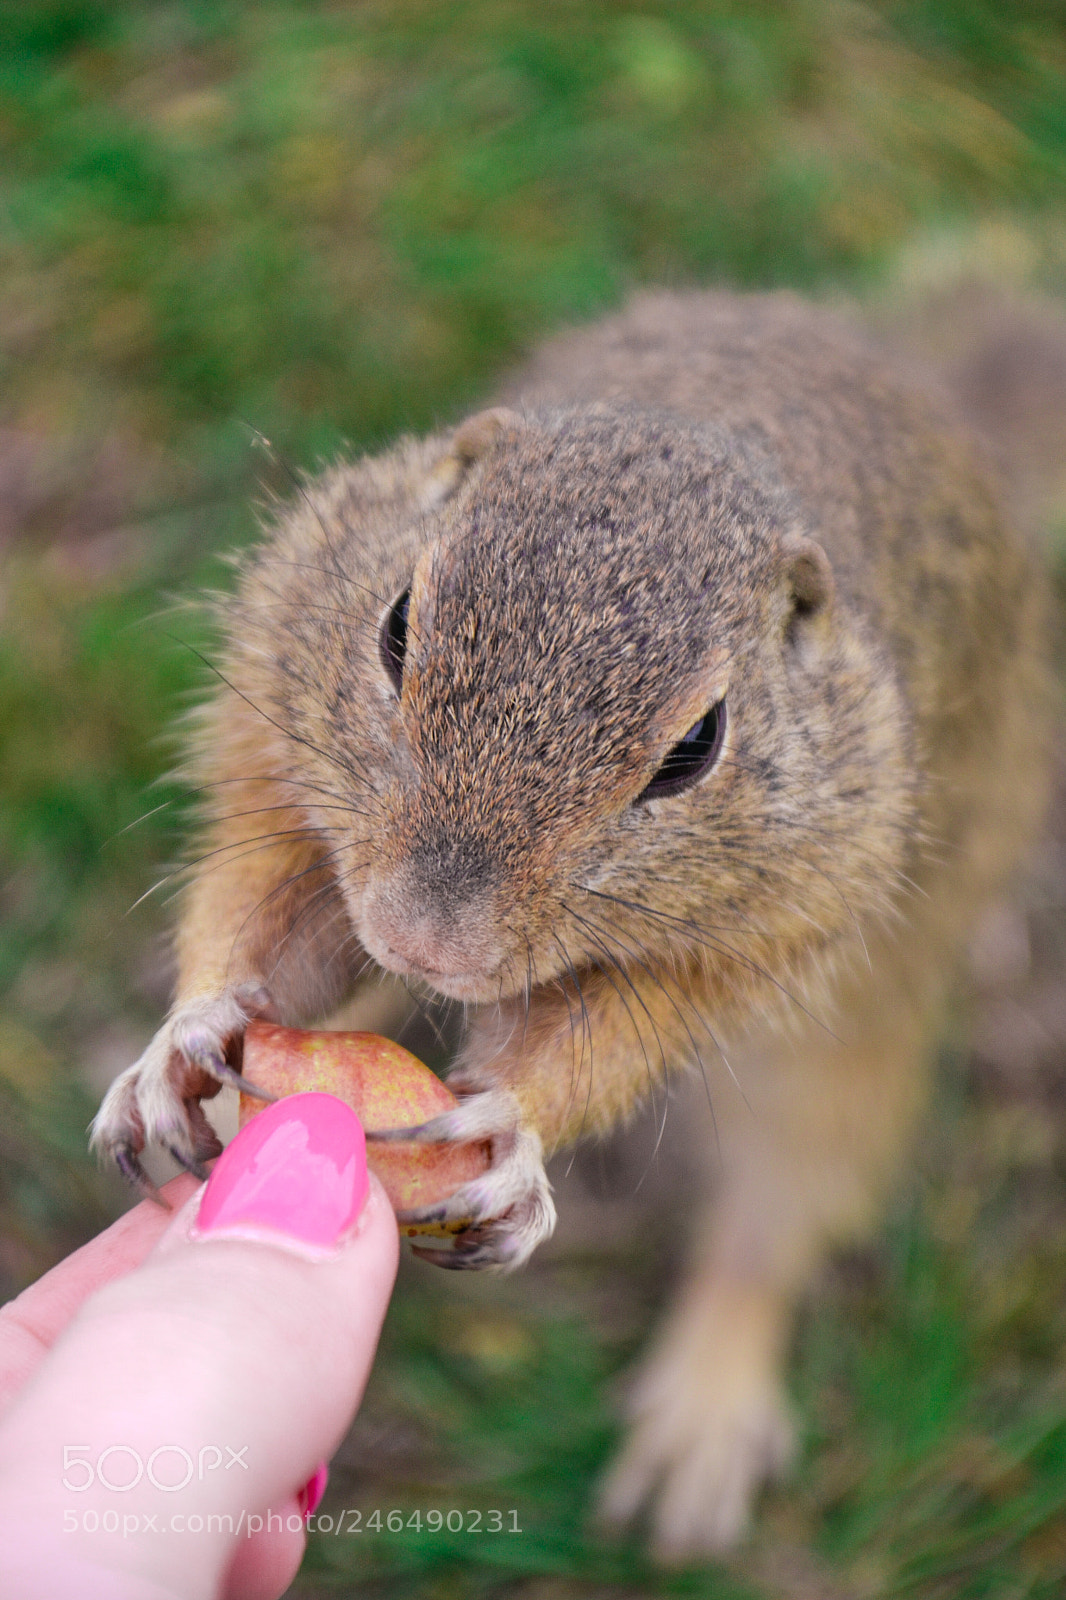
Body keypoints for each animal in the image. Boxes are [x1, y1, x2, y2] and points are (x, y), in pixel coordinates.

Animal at [91, 290, 1051, 1558]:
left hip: (857, 1038)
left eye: (695, 745)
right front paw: (181, 1041)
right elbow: (251, 912)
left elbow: (614, 1043)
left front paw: (513, 1129)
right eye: (396, 624)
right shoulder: (280, 770)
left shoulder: (747, 943)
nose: (427, 941)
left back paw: (703, 1413)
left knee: (777, 1215)